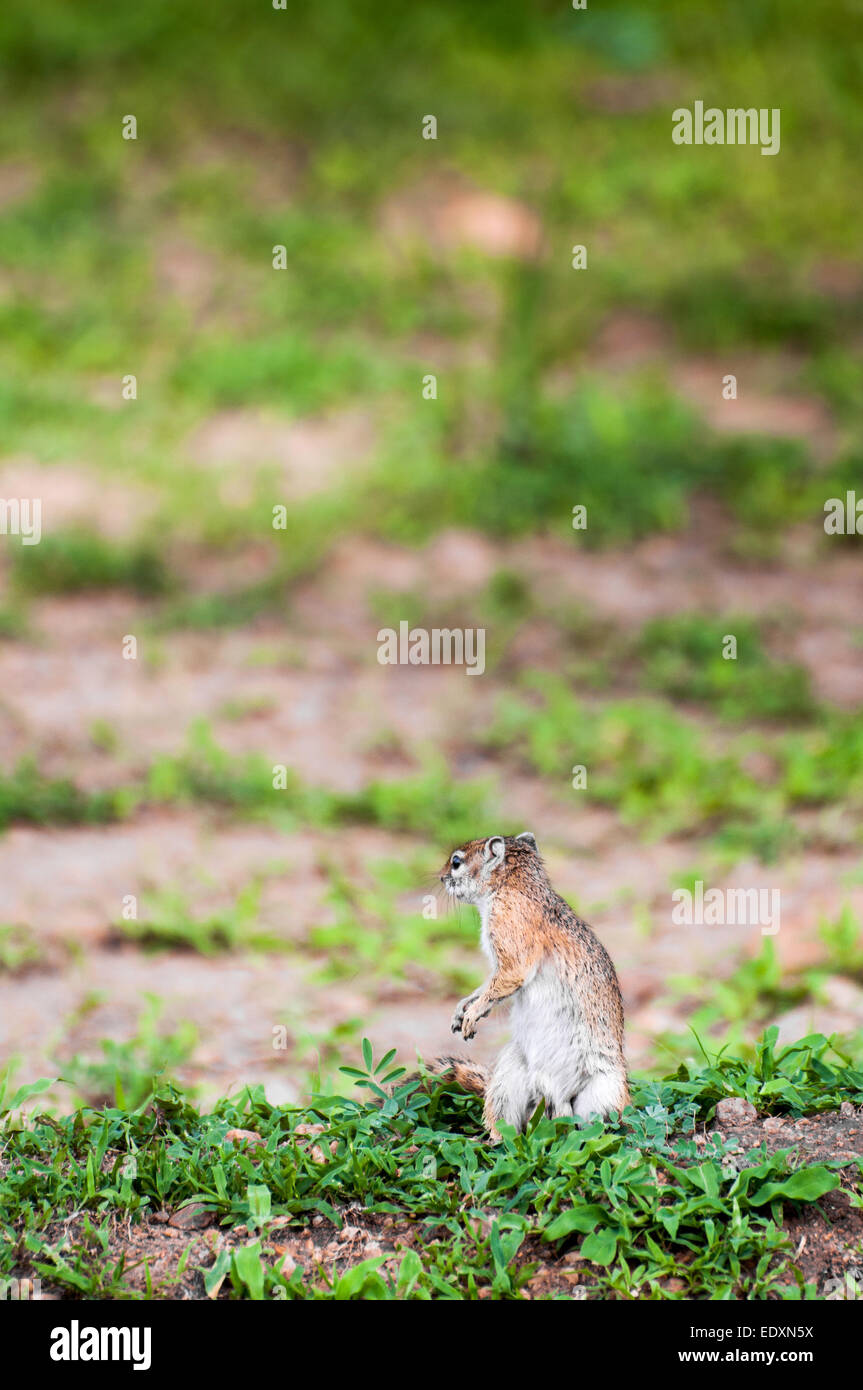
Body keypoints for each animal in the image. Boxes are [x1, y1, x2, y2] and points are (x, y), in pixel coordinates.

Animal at [428, 834, 625, 1139]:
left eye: (456, 862)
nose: (441, 877)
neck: (515, 884)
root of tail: (556, 1096)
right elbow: (488, 985)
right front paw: (463, 1008)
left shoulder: (511, 932)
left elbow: (506, 979)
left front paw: (472, 1014)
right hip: (509, 1079)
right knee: (508, 1122)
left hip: (604, 1091)